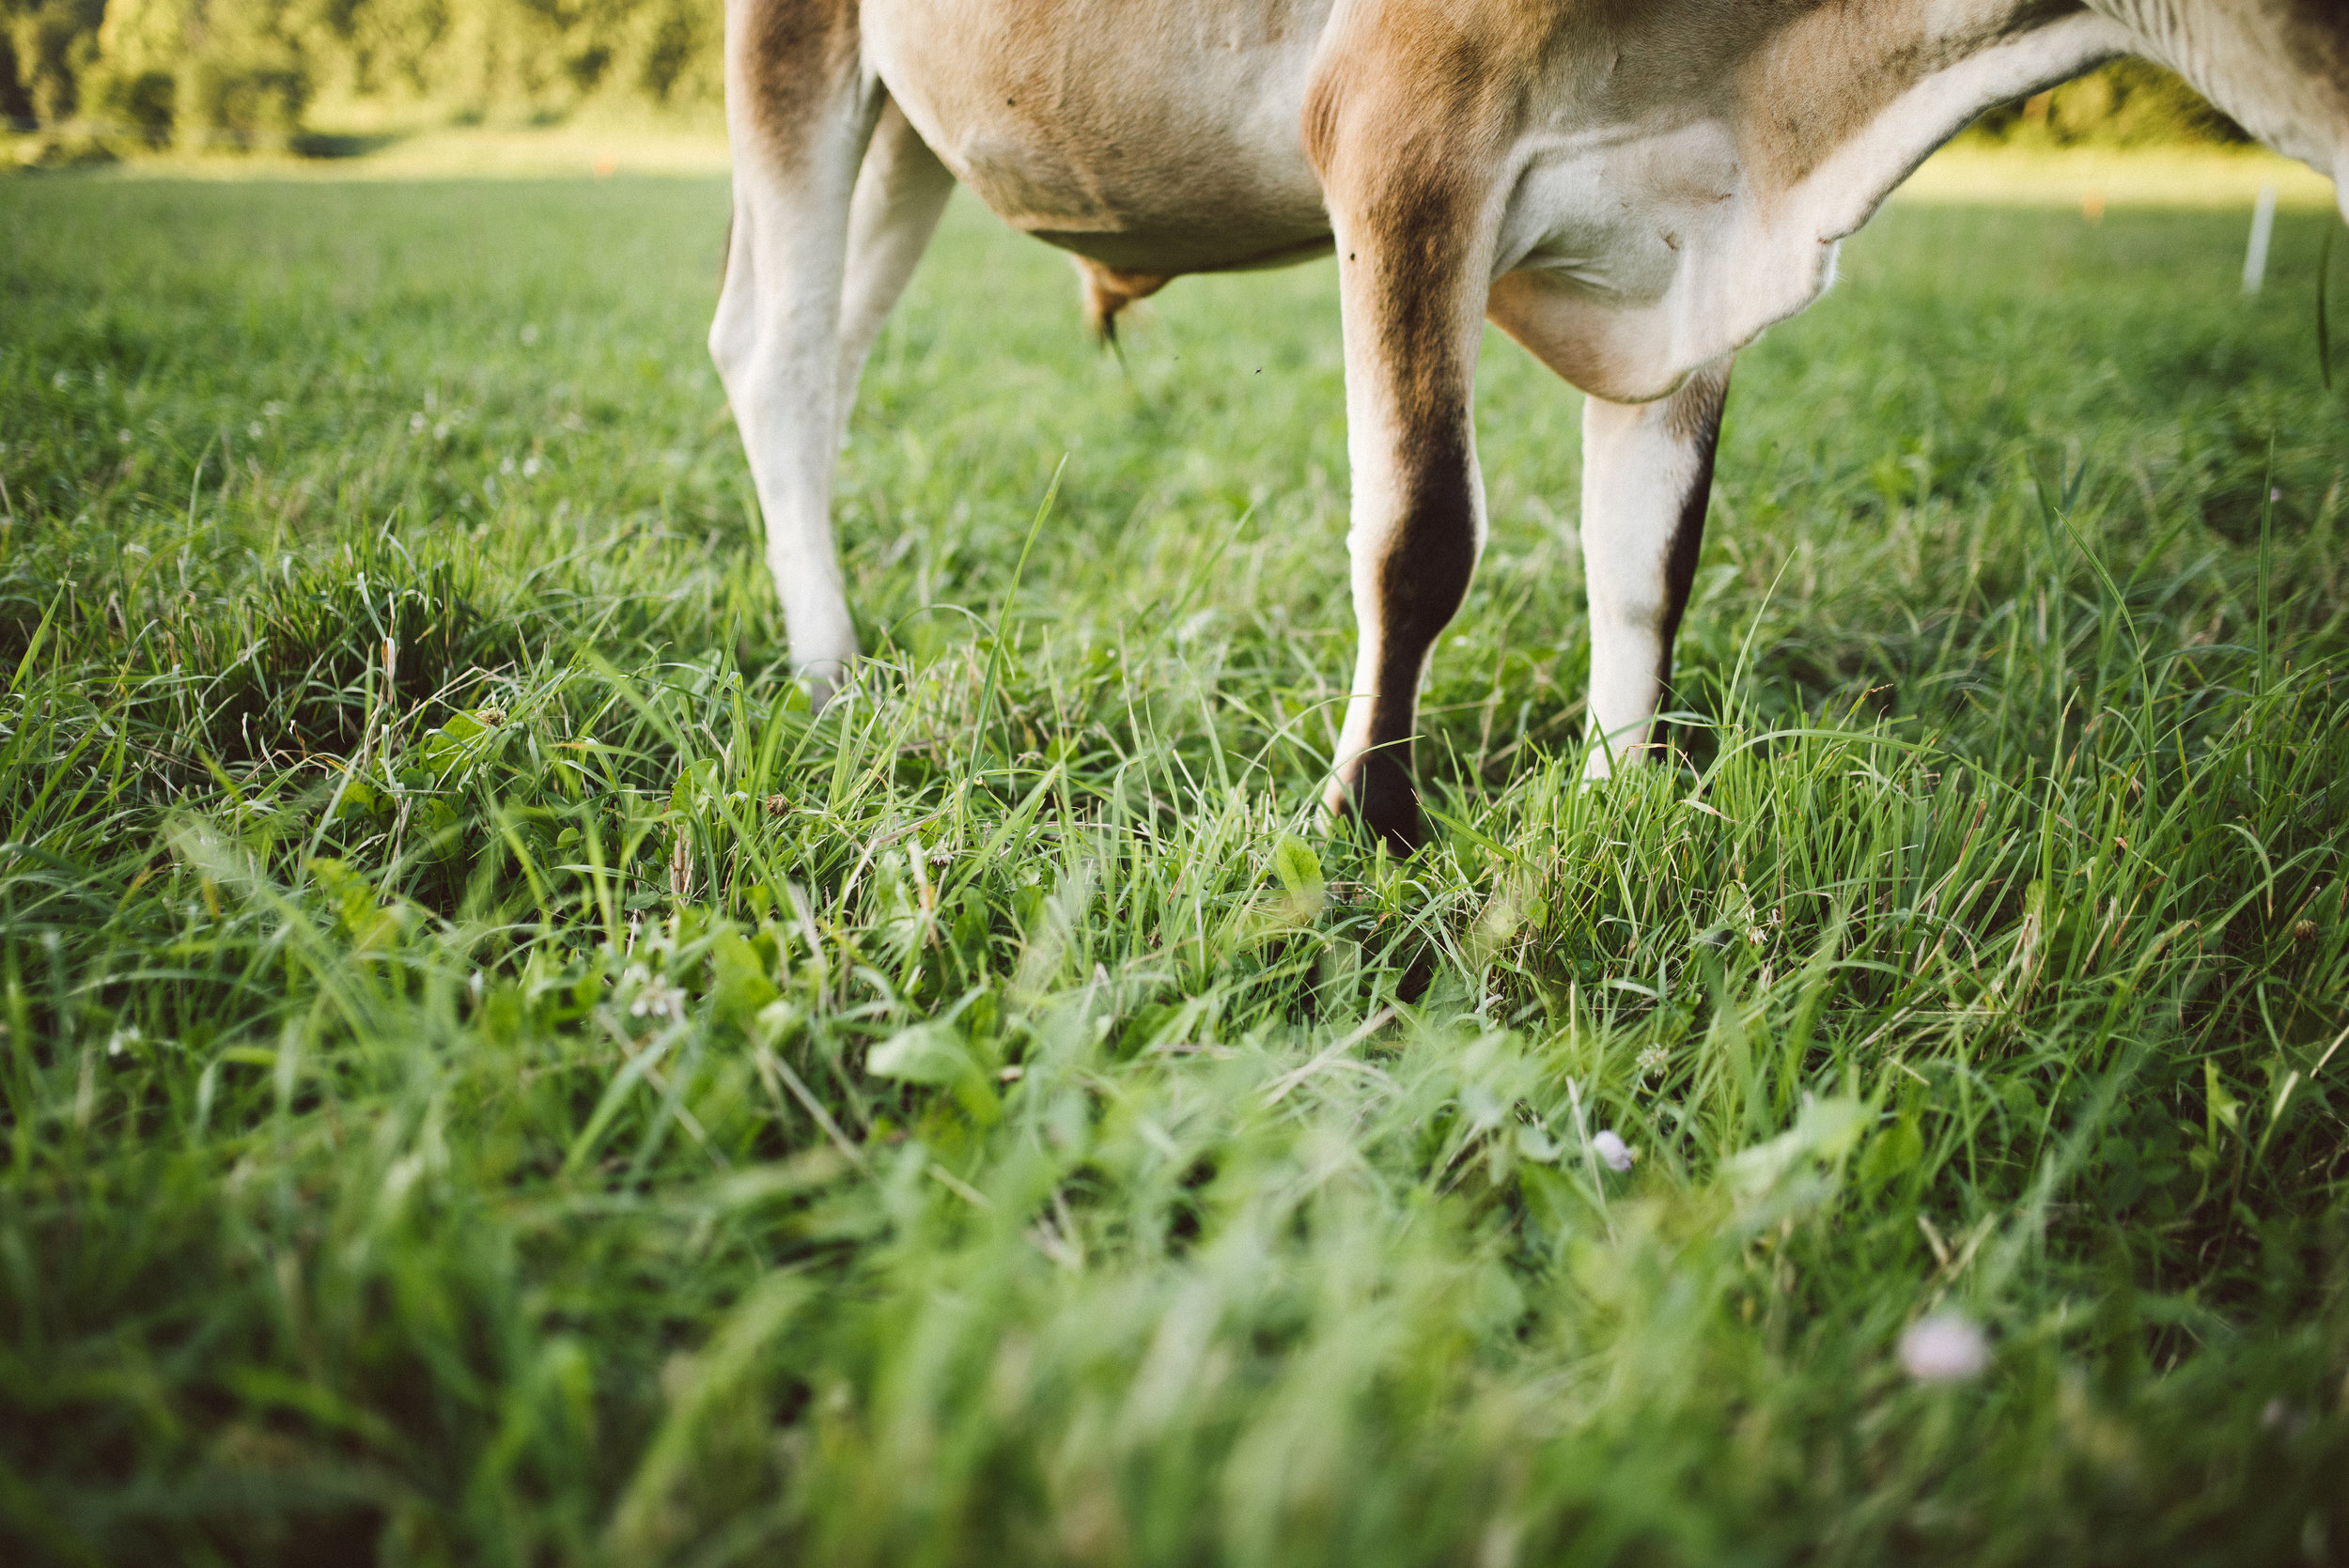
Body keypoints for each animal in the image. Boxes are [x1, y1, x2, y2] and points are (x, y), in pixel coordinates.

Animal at [709, 0, 2349, 849]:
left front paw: (1625, 805)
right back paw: (828, 667)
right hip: (798, 44)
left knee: (832, 351)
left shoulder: (1690, 246)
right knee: (773, 352)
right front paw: (1368, 825)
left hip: (918, 131)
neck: (1799, 123)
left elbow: (1647, 563)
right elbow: (1423, 533)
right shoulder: (1406, 119)